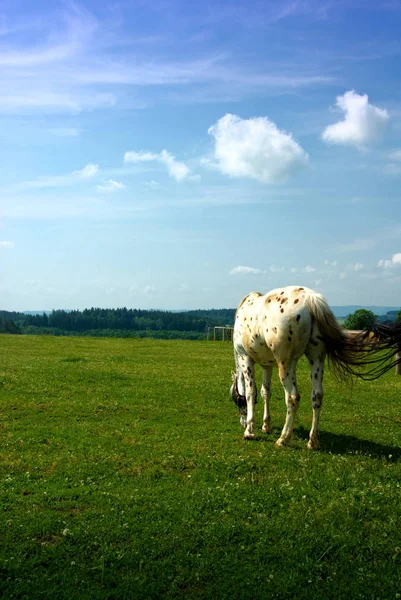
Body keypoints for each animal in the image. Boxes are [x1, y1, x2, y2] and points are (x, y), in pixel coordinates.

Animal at [230, 288, 400, 450]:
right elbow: (266, 392)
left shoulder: (245, 359)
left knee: (292, 397)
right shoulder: (267, 365)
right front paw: (266, 425)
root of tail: (309, 298)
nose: (242, 422)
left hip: (286, 364)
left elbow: (251, 393)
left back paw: (283, 439)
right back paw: (312, 441)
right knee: (317, 396)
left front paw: (249, 430)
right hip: (316, 358)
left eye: (236, 401)